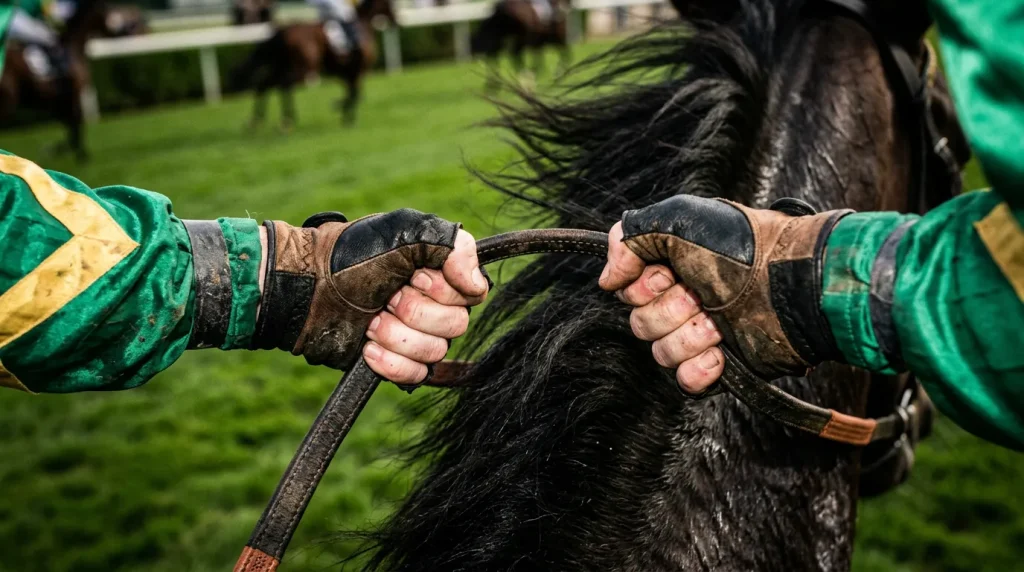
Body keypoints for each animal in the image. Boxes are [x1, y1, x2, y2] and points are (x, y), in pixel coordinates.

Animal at [0, 0, 112, 160]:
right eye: (106, 10)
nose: (119, 29)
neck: (73, 48)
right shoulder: (73, 94)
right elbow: (76, 124)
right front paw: (80, 154)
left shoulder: (57, 101)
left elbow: (70, 127)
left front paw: (57, 149)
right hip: (9, 100)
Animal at [231, 0, 396, 130]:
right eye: (391, 3)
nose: (395, 21)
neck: (363, 24)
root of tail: (281, 31)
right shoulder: (359, 69)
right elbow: (355, 93)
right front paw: (344, 112)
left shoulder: (345, 71)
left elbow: (353, 92)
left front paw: (345, 113)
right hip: (303, 67)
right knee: (283, 84)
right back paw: (286, 120)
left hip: (282, 65)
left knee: (265, 85)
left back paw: (255, 122)